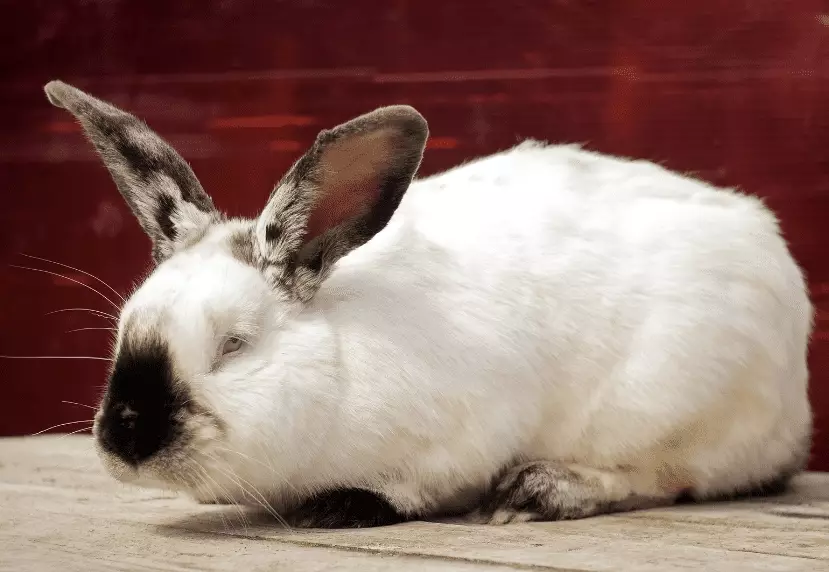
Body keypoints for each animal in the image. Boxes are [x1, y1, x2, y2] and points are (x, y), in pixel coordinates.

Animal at [43, 79, 813, 528]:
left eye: (234, 344)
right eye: (124, 331)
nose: (126, 436)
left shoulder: (459, 440)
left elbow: (420, 489)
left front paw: (342, 506)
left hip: (674, 410)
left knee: (670, 478)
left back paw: (542, 491)